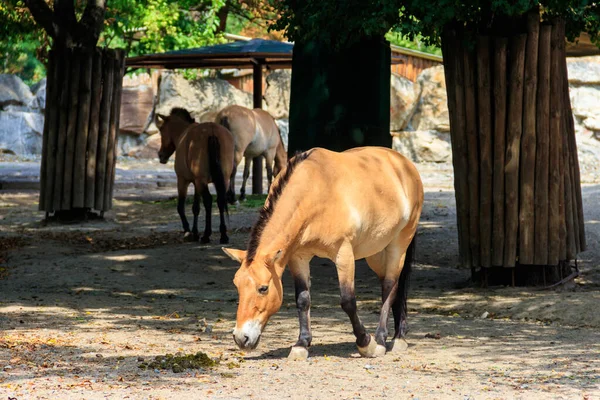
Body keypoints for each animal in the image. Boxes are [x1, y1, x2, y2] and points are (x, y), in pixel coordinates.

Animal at [155, 107, 234, 244]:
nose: (161, 155)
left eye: (162, 130)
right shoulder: (197, 183)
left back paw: (207, 235)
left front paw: (188, 231)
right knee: (220, 200)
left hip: (201, 181)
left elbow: (181, 207)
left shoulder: (183, 180)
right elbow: (196, 207)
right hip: (223, 179)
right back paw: (223, 235)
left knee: (208, 201)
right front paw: (195, 232)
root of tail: (211, 130)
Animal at [223, 147, 424, 360]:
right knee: (394, 285)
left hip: (398, 245)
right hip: (376, 253)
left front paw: (365, 343)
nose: (241, 338)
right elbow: (303, 299)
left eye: (263, 288)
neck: (315, 189)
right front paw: (301, 344)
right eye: (237, 285)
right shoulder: (298, 257)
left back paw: (383, 340)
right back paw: (398, 335)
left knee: (389, 287)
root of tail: (403, 163)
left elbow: (348, 301)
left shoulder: (343, 254)